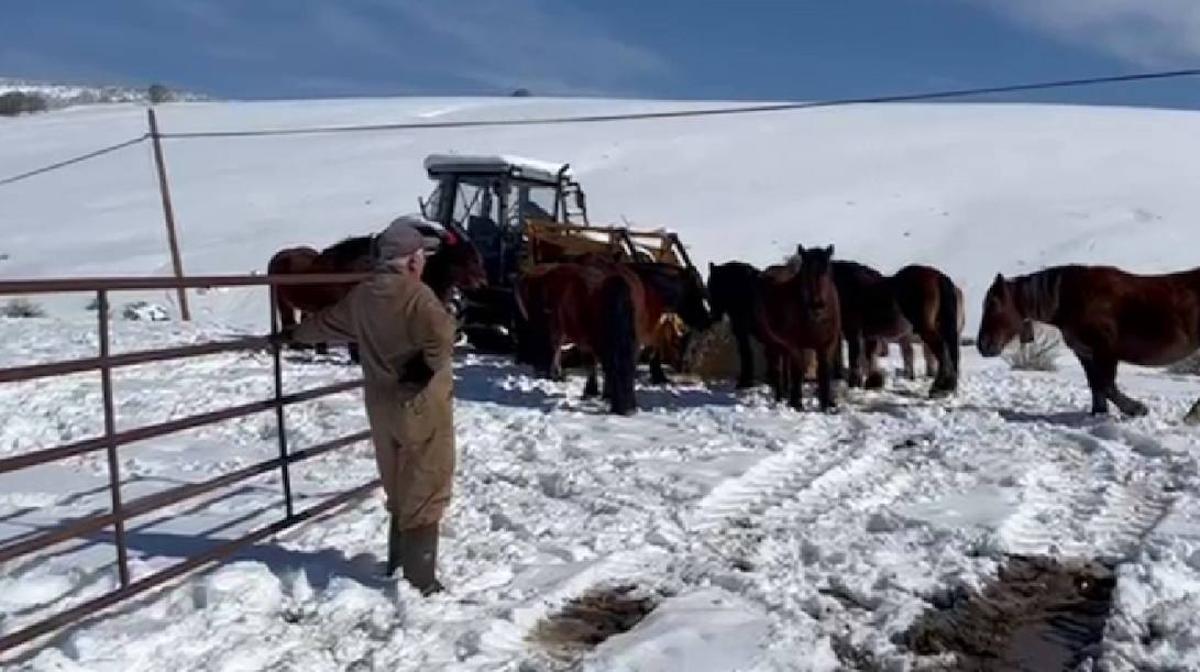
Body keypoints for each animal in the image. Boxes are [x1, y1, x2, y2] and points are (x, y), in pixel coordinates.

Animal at [516, 262, 648, 415]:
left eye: (632, 371)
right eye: (615, 371)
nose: (628, 411)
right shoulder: (587, 341)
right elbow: (592, 365)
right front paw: (592, 392)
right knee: (551, 347)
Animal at [753, 242, 840, 410]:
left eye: (827, 271)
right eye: (805, 273)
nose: (816, 306)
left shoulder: (827, 344)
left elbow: (824, 371)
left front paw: (827, 403)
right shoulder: (795, 345)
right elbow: (797, 372)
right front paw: (796, 403)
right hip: (773, 343)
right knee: (777, 369)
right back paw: (780, 397)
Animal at [974, 265, 1200, 417]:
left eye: (993, 304)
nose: (983, 345)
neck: (1071, 298)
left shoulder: (1105, 351)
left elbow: (1106, 385)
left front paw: (1136, 409)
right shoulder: (1084, 352)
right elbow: (1096, 385)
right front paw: (1099, 414)